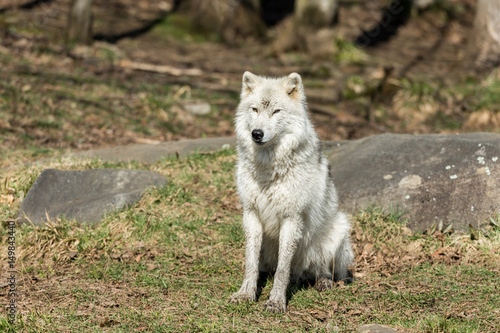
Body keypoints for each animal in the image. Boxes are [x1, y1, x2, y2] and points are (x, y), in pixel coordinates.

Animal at [229, 71, 354, 312]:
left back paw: (323, 282)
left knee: (322, 268)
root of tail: (302, 274)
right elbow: (250, 263)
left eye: (276, 111)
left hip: (338, 229)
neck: (269, 171)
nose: (256, 133)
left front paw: (276, 301)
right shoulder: (251, 214)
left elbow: (282, 269)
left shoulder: (292, 218)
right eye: (255, 110)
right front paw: (246, 293)